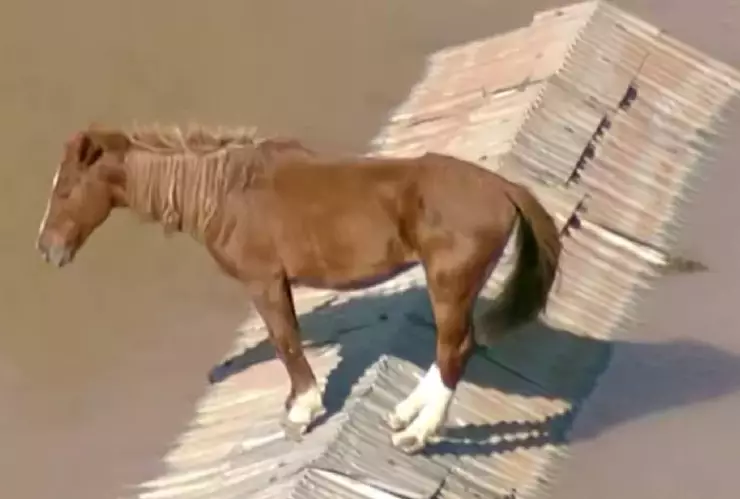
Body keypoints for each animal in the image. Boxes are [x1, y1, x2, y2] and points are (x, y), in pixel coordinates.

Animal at [36, 123, 561, 454]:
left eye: (65, 190)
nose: (46, 248)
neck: (224, 193)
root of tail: (505, 187)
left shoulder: (264, 281)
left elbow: (285, 341)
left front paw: (301, 411)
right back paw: (404, 414)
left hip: (450, 283)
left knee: (456, 349)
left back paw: (416, 435)